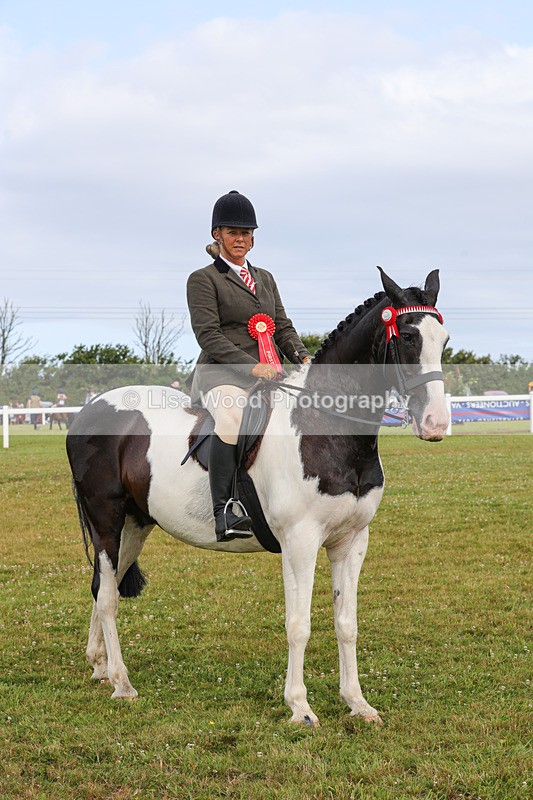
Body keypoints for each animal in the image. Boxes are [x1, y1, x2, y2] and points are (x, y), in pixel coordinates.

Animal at [66, 268, 450, 727]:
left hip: (135, 525)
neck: (323, 428)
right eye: (407, 337)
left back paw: (100, 666)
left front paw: (357, 703)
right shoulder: (300, 542)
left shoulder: (352, 541)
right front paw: (300, 707)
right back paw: (122, 683)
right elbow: (299, 624)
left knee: (101, 586)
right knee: (107, 597)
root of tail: (88, 412)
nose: (436, 423)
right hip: (106, 520)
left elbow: (346, 623)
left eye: (444, 340)